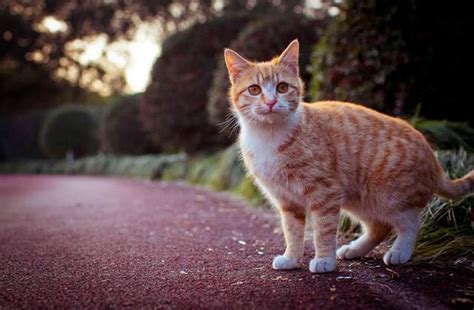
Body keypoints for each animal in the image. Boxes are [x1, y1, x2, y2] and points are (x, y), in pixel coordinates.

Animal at [223, 39, 474, 274]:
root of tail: (435, 159)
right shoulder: (288, 202)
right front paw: (291, 259)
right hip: (362, 201)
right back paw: (354, 249)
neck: (270, 136)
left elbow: (322, 231)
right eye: (254, 90)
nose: (271, 102)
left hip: (390, 197)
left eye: (282, 87)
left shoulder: (325, 194)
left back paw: (399, 252)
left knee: (410, 223)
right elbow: (292, 233)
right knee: (378, 228)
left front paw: (324, 260)